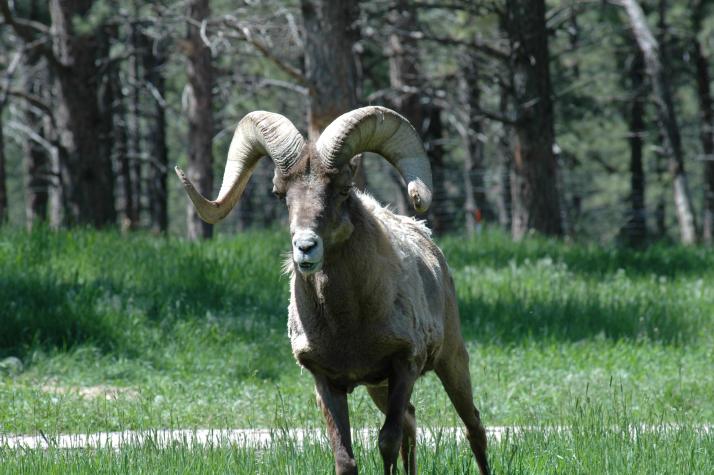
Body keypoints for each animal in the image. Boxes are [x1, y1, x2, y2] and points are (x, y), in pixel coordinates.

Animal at [178, 106, 490, 474]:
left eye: (342, 190)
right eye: (280, 194)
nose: (305, 248)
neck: (347, 325)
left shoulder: (404, 365)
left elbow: (387, 441)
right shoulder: (327, 382)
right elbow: (345, 457)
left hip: (451, 361)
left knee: (472, 427)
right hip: (380, 388)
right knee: (412, 424)